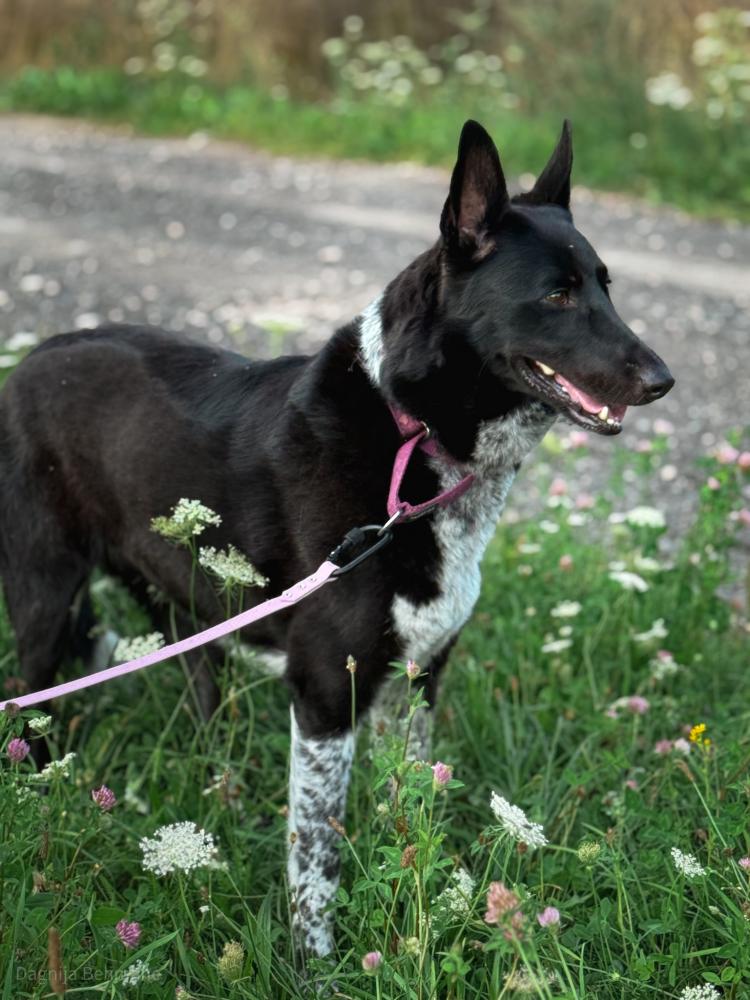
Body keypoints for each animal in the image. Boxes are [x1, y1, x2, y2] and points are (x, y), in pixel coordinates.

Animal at [0, 120, 673, 957]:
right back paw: (45, 792)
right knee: (32, 701)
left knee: (197, 684)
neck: (412, 436)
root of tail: (28, 359)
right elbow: (315, 858)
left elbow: (411, 804)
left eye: (607, 285)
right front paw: (315, 964)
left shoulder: (417, 682)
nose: (663, 380)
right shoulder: (324, 696)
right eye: (558, 292)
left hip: (178, 595)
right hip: (45, 594)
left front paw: (420, 906)